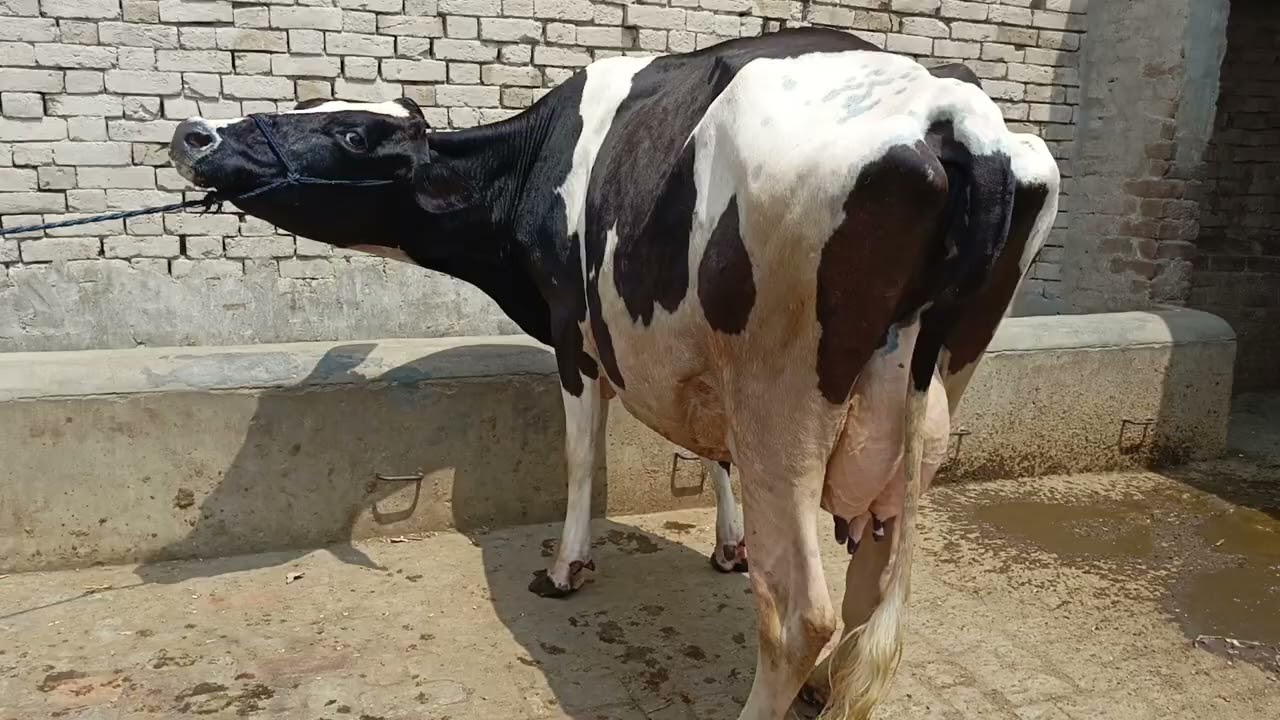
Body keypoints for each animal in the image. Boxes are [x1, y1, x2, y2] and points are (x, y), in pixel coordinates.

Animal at [168, 27, 1059, 720]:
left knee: (802, 614)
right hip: (927, 397)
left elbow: (579, 455)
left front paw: (568, 567)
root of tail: (946, 113)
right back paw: (825, 687)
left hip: (781, 398)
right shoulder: (697, 360)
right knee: (874, 585)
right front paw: (727, 545)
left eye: (351, 135)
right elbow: (709, 452)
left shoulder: (574, 331)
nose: (194, 133)